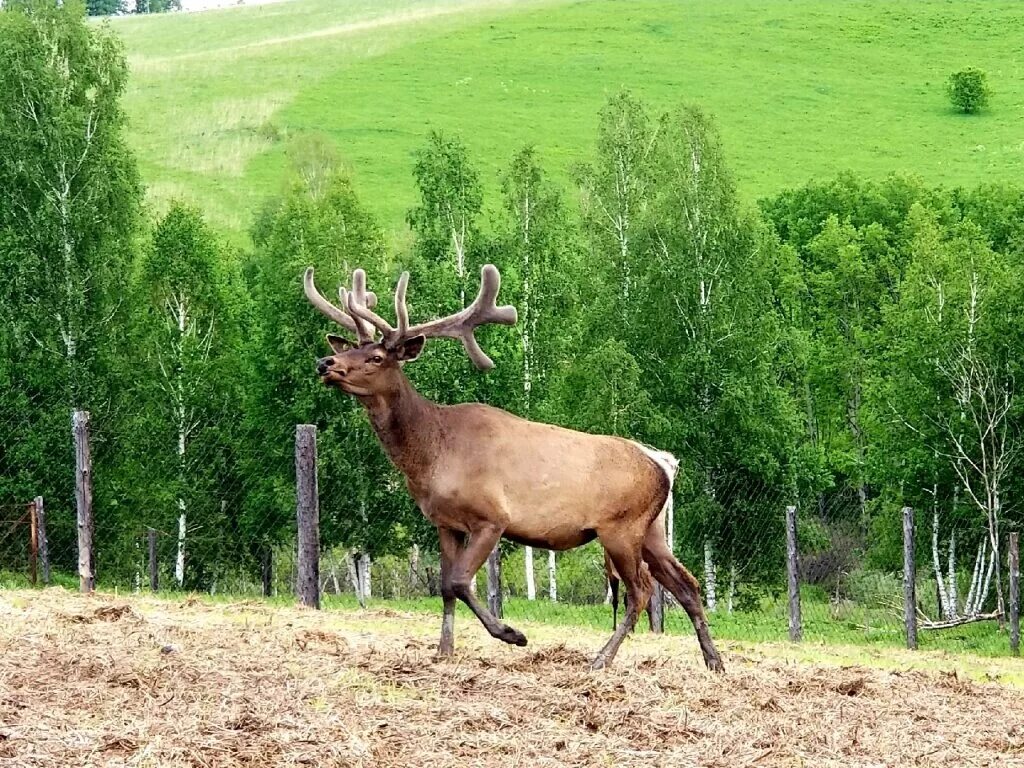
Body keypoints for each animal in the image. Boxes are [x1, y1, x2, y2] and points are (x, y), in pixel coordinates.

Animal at [305, 262, 729, 671]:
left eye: (376, 358)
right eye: (351, 348)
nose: (325, 362)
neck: (430, 454)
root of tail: (664, 463)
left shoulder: (491, 517)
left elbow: (460, 582)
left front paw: (512, 634)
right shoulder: (444, 522)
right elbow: (444, 587)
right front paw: (443, 651)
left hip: (621, 526)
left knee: (640, 591)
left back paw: (601, 659)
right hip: (652, 529)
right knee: (687, 584)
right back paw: (714, 661)